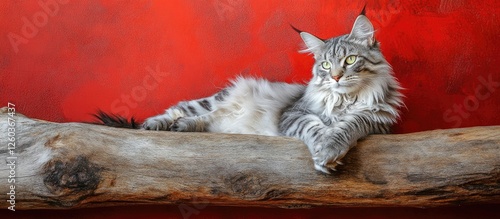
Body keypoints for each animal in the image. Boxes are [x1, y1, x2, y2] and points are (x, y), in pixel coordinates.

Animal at [96, 13, 402, 175]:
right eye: (326, 65)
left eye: (349, 60)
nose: (336, 77)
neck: (343, 101)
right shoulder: (296, 113)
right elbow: (315, 127)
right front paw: (323, 150)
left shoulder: (377, 121)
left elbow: (349, 125)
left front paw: (331, 147)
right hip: (212, 101)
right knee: (181, 108)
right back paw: (157, 124)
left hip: (218, 120)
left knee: (202, 122)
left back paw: (182, 127)